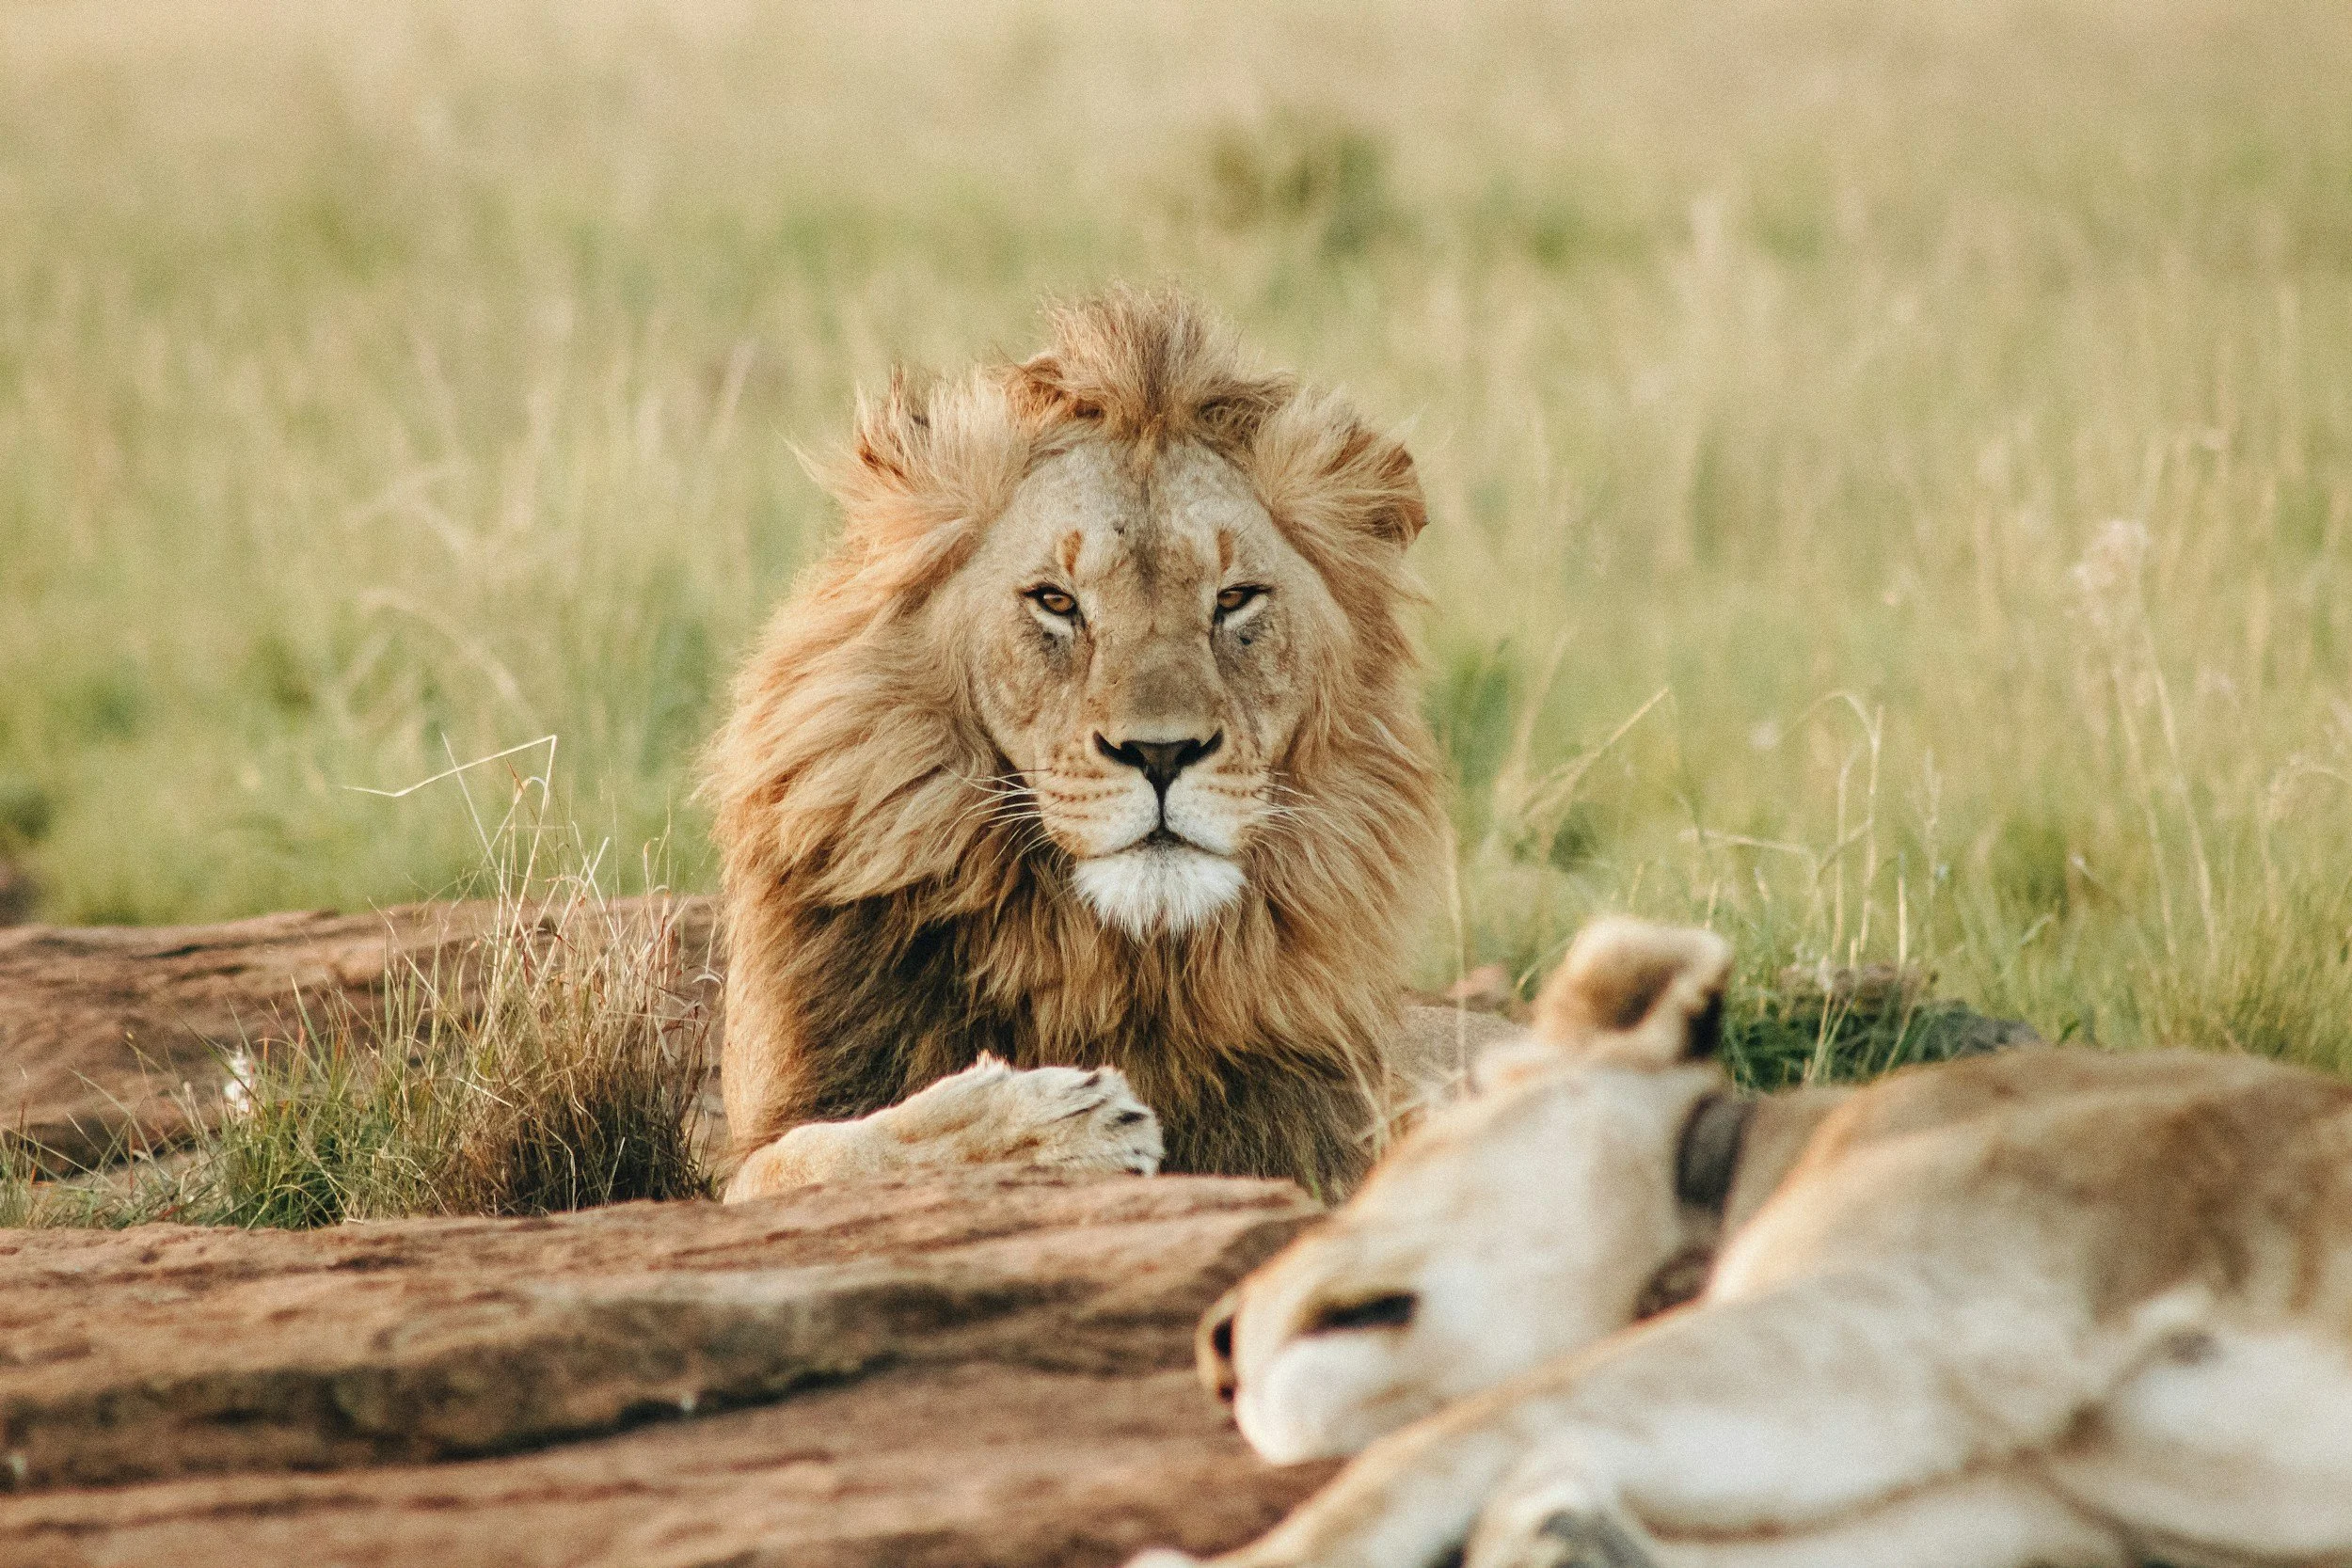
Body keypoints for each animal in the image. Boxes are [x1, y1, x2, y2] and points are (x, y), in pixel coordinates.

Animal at [706, 288, 1517, 1201]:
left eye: (1235, 598)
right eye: (1056, 601)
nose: (1161, 754)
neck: (1108, 962)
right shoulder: (762, 1144)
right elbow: (826, 1152)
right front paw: (1052, 1125)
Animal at [1143, 917, 2352, 1568]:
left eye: (1391, 1157)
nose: (1209, 1343)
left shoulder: (1938, 1302)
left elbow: (1442, 1437)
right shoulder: (2033, 1509)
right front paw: (1566, 1533)